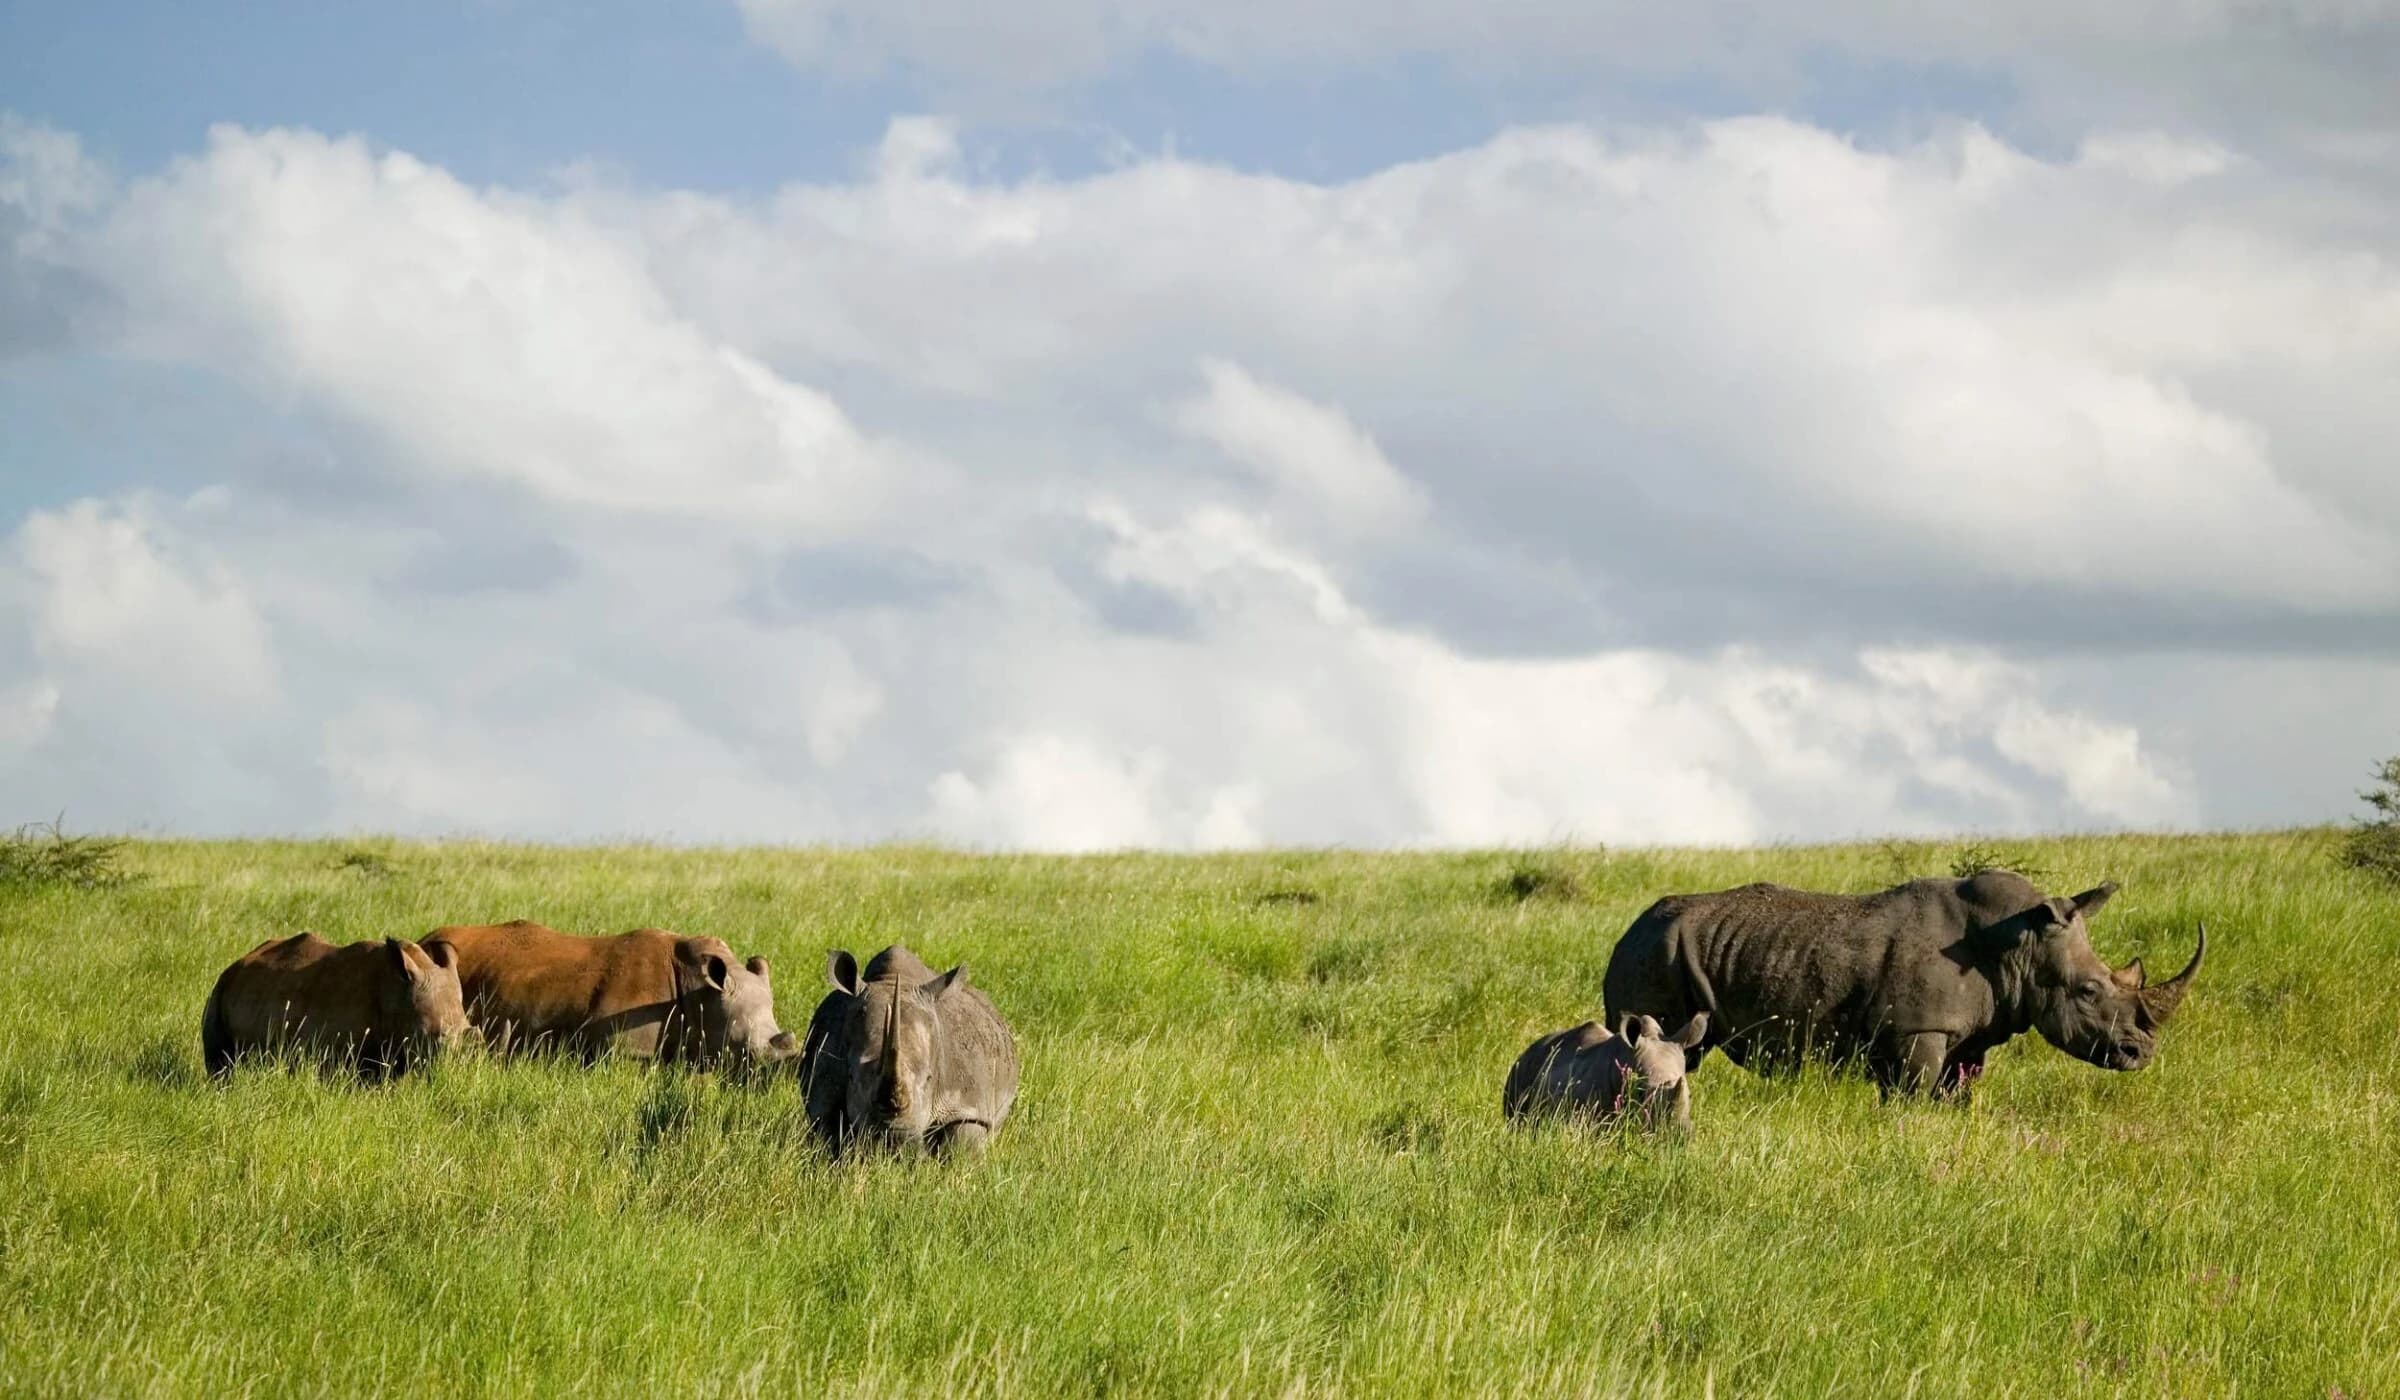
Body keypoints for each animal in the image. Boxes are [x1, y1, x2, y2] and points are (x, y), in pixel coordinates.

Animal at [201, 932, 474, 1079]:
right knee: (221, 1066)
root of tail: (238, 962)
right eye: (436, 1038)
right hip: (218, 991)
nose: (456, 1068)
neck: (396, 994)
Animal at [799, 945, 1019, 1156]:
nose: (893, 1142)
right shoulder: (824, 1089)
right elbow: (829, 1135)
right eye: (851, 1076)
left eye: (929, 1078)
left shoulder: (967, 1104)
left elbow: (962, 1145)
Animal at [1601, 871, 2203, 1097]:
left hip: (1663, 948)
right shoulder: (1917, 1030)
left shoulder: (1968, 1037)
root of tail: (1627, 928)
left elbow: (1954, 1093)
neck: (2020, 945)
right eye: (2088, 992)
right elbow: (1913, 1093)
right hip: (1653, 951)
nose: (2141, 1054)